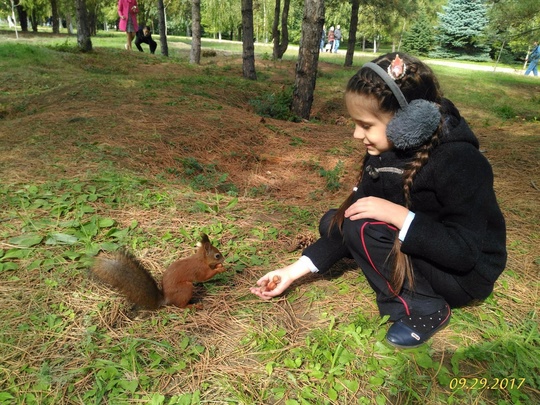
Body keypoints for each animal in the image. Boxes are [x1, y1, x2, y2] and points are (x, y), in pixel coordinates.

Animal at [89, 232, 225, 308]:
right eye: (217, 255)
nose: (223, 259)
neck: (201, 259)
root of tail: (167, 299)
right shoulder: (199, 269)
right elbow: (204, 277)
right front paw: (220, 269)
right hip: (185, 288)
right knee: (180, 306)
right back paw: (193, 306)